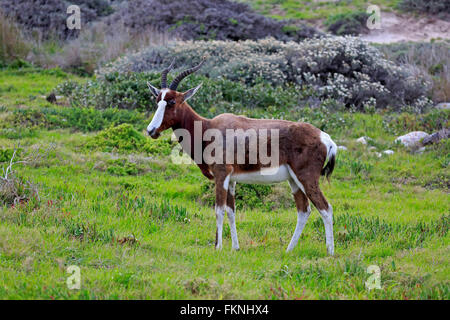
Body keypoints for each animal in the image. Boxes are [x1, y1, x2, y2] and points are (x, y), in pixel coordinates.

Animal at [148, 59, 338, 255]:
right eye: (157, 100)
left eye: (171, 101)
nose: (151, 130)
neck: (209, 127)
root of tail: (325, 138)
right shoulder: (232, 179)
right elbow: (231, 211)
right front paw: (235, 247)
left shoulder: (221, 175)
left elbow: (219, 210)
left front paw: (218, 247)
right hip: (293, 180)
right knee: (303, 210)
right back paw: (288, 250)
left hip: (306, 178)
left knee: (325, 208)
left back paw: (330, 252)